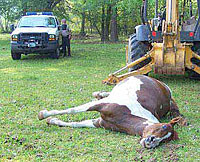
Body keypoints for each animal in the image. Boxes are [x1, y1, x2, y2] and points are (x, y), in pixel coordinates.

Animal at [38, 75, 184, 149]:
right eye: (163, 127)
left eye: (166, 141)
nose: (152, 142)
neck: (127, 116)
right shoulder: (101, 105)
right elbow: (72, 110)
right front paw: (43, 114)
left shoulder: (98, 122)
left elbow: (76, 124)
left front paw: (52, 120)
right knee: (106, 93)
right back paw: (98, 93)